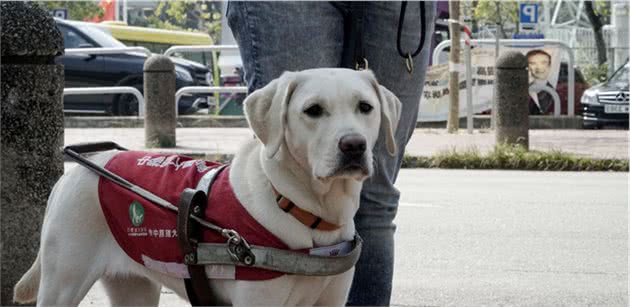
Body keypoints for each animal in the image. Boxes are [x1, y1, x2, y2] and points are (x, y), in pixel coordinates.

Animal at [13, 68, 400, 306]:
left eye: (365, 107)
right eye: (313, 110)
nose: (353, 146)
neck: (306, 211)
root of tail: (75, 170)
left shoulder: (332, 297)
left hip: (134, 287)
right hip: (63, 282)